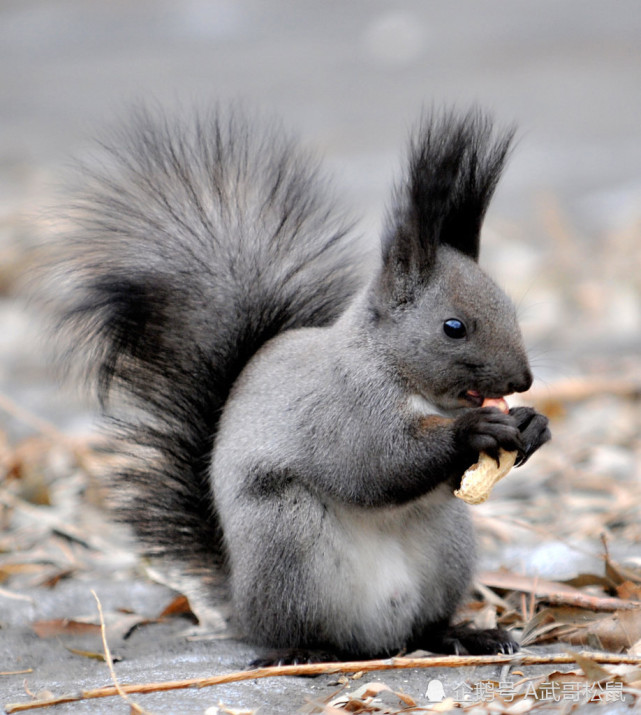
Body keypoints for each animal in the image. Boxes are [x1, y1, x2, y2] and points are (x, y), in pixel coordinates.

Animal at [45, 105, 552, 664]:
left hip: (448, 546)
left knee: (424, 627)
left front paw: (532, 424)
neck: (401, 375)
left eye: (510, 309)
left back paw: (462, 634)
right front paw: (474, 430)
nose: (523, 380)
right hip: (285, 539)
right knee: (299, 626)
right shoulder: (343, 407)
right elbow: (377, 464)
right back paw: (302, 652)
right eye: (453, 327)